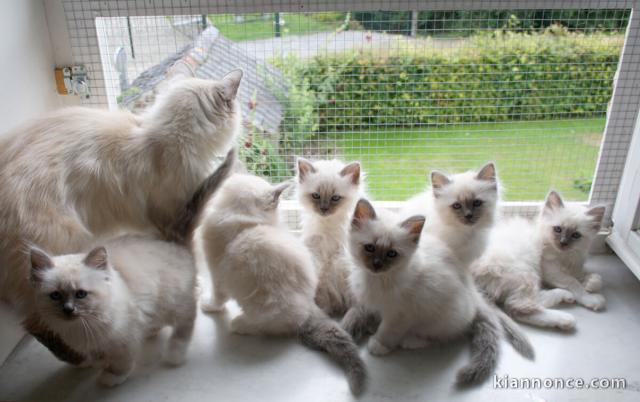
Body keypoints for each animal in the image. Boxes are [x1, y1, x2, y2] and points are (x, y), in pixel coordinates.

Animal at [23, 149, 238, 384]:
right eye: (55, 296)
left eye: (81, 294)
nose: (68, 310)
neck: (82, 328)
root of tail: (172, 241)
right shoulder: (92, 343)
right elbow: (96, 356)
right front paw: (95, 363)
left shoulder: (124, 339)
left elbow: (121, 363)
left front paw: (109, 378)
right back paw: (152, 330)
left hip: (175, 302)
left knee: (186, 323)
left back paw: (175, 355)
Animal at [202, 174, 368, 394]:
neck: (245, 220)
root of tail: (309, 306)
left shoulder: (216, 274)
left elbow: (217, 297)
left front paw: (208, 306)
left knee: (262, 327)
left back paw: (239, 323)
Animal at [296, 158, 362, 318]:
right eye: (316, 196)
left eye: (335, 198)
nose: (324, 209)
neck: (328, 225)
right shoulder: (315, 248)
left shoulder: (341, 255)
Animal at [342, 199, 532, 384]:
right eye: (369, 248)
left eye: (391, 254)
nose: (377, 264)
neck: (377, 279)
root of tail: (474, 296)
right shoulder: (376, 304)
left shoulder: (400, 314)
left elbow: (388, 331)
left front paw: (378, 344)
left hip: (440, 317)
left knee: (440, 336)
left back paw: (411, 341)